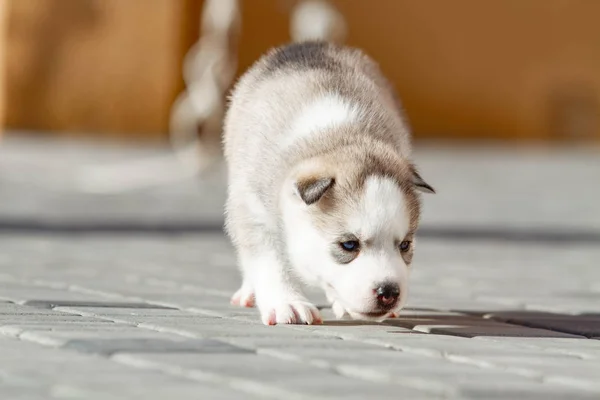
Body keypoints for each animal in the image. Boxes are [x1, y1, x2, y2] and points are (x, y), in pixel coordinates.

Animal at [223, 41, 434, 324]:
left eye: (405, 245)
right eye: (349, 245)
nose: (389, 292)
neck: (340, 135)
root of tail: (311, 43)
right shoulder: (253, 207)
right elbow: (268, 260)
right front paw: (287, 302)